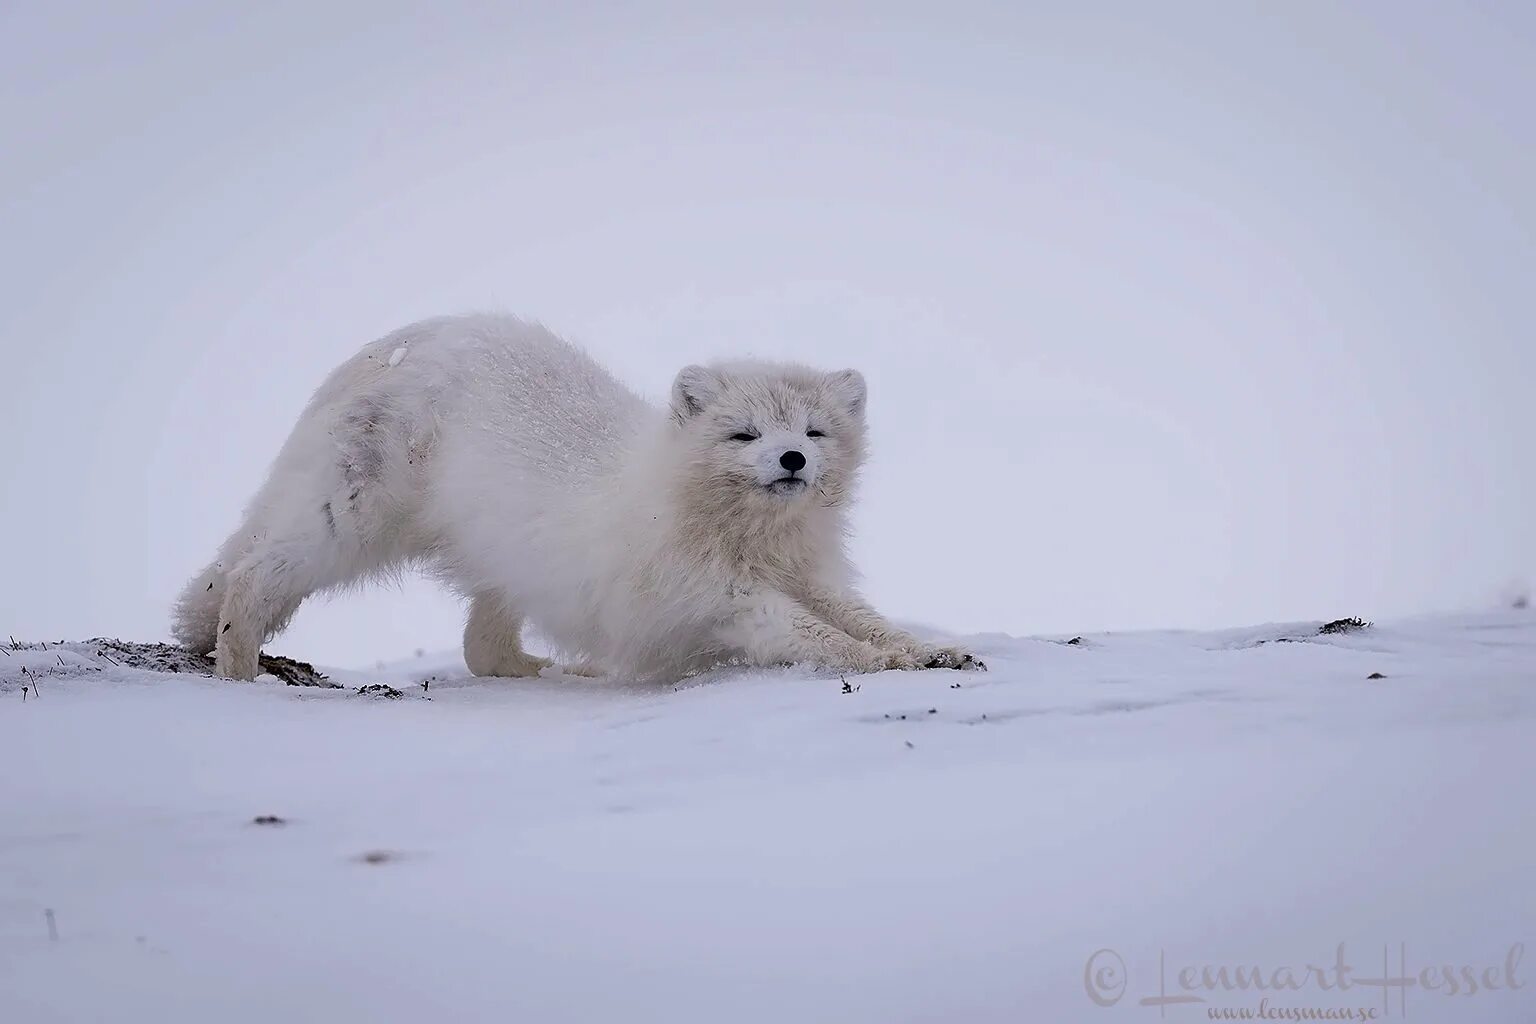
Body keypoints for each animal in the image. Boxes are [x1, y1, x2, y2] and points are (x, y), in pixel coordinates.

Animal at [171, 313, 983, 681]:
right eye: (744, 433)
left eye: (814, 430)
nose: (791, 458)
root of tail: (400, 340)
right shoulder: (716, 593)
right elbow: (811, 633)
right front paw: (888, 664)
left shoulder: (808, 573)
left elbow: (861, 616)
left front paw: (929, 650)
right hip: (351, 513)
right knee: (253, 573)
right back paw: (238, 669)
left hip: (507, 555)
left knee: (482, 649)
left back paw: (546, 670)